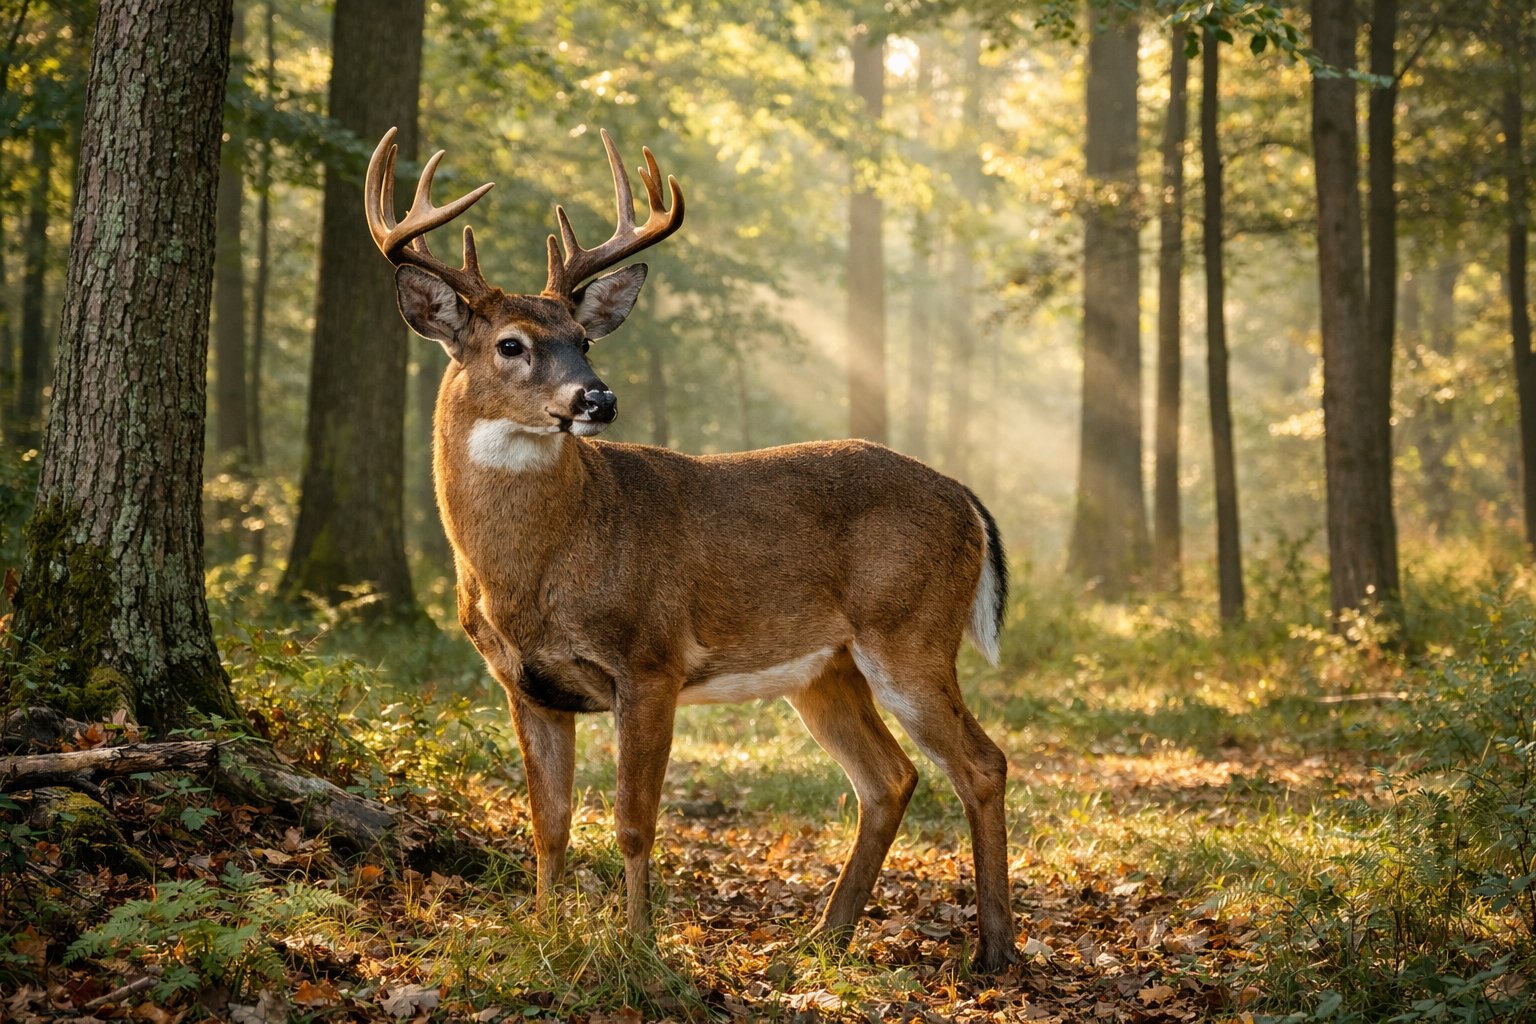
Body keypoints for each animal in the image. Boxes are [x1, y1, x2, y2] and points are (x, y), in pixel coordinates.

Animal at [363, 127, 1021, 973]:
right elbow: (549, 825)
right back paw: (823, 936)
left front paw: (638, 949)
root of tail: (966, 497)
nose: (598, 397)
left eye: (583, 339)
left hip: (911, 630)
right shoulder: (525, 683)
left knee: (980, 763)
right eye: (511, 344)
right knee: (890, 777)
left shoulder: (651, 660)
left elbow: (632, 822)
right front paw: (546, 937)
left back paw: (994, 948)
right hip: (825, 669)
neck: (536, 571)